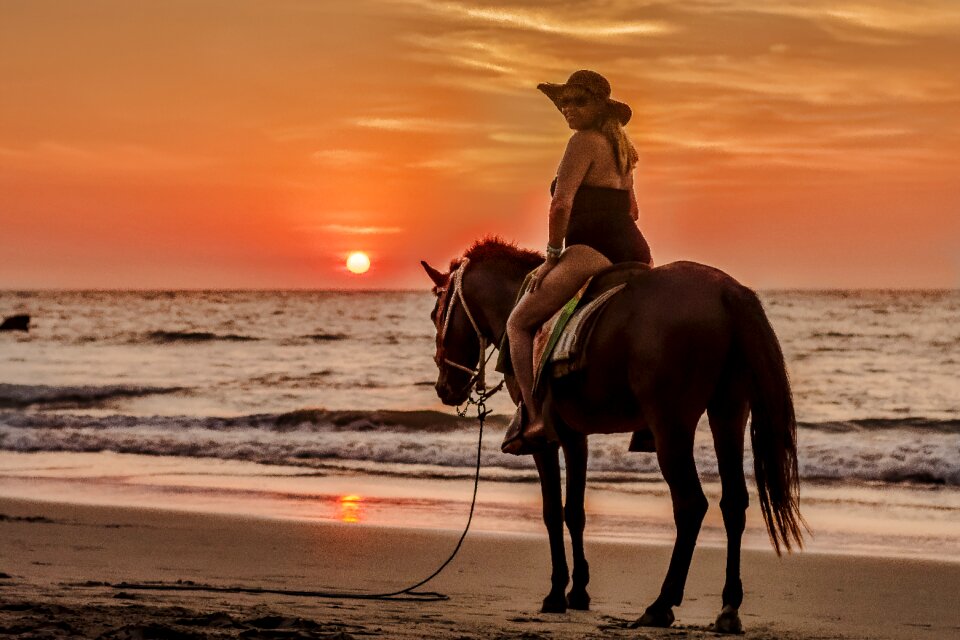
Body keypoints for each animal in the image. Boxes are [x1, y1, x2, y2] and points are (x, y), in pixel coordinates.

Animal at [424, 238, 808, 632]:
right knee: (733, 503)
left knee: (691, 505)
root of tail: (727, 291)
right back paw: (728, 608)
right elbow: (574, 511)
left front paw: (556, 593)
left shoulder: (546, 441)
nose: (443, 387)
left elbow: (551, 511)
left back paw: (661, 604)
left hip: (671, 425)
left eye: (436, 314)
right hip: (728, 412)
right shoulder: (575, 435)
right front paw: (578, 592)